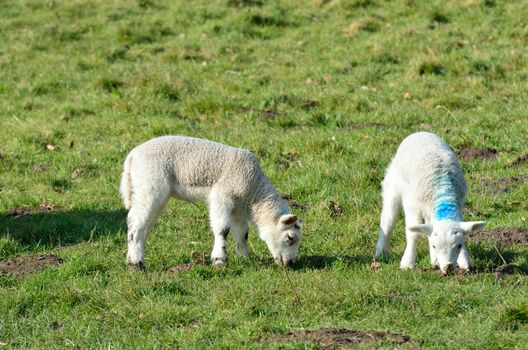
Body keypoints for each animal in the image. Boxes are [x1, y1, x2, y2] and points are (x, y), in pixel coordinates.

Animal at [119, 135, 302, 270]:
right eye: (290, 238)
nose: (290, 263)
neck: (254, 194)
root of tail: (132, 156)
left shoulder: (237, 208)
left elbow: (242, 233)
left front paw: (244, 258)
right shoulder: (222, 195)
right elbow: (223, 230)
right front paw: (219, 260)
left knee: (144, 224)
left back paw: (133, 258)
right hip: (150, 184)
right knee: (135, 222)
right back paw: (136, 264)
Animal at [374, 131, 484, 274]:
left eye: (459, 246)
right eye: (435, 246)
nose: (448, 267)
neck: (443, 192)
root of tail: (420, 133)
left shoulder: (459, 204)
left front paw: (465, 261)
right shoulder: (412, 205)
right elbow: (413, 233)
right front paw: (407, 263)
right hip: (393, 186)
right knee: (388, 221)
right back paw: (380, 253)